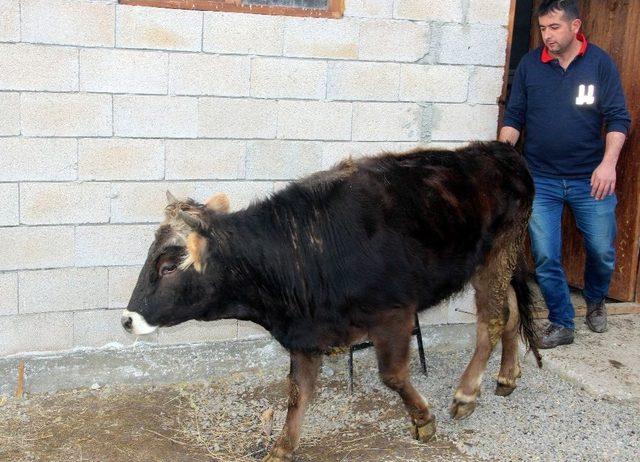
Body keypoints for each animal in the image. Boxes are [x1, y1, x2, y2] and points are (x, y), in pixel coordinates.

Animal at [121, 141, 540, 462]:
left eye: (169, 266)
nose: (127, 319)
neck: (299, 252)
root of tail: (498, 151)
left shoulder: (393, 314)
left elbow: (392, 375)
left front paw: (422, 419)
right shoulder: (305, 332)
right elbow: (297, 392)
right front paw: (282, 448)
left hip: (496, 254)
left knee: (490, 320)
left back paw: (467, 393)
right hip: (498, 260)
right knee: (510, 312)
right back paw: (507, 375)